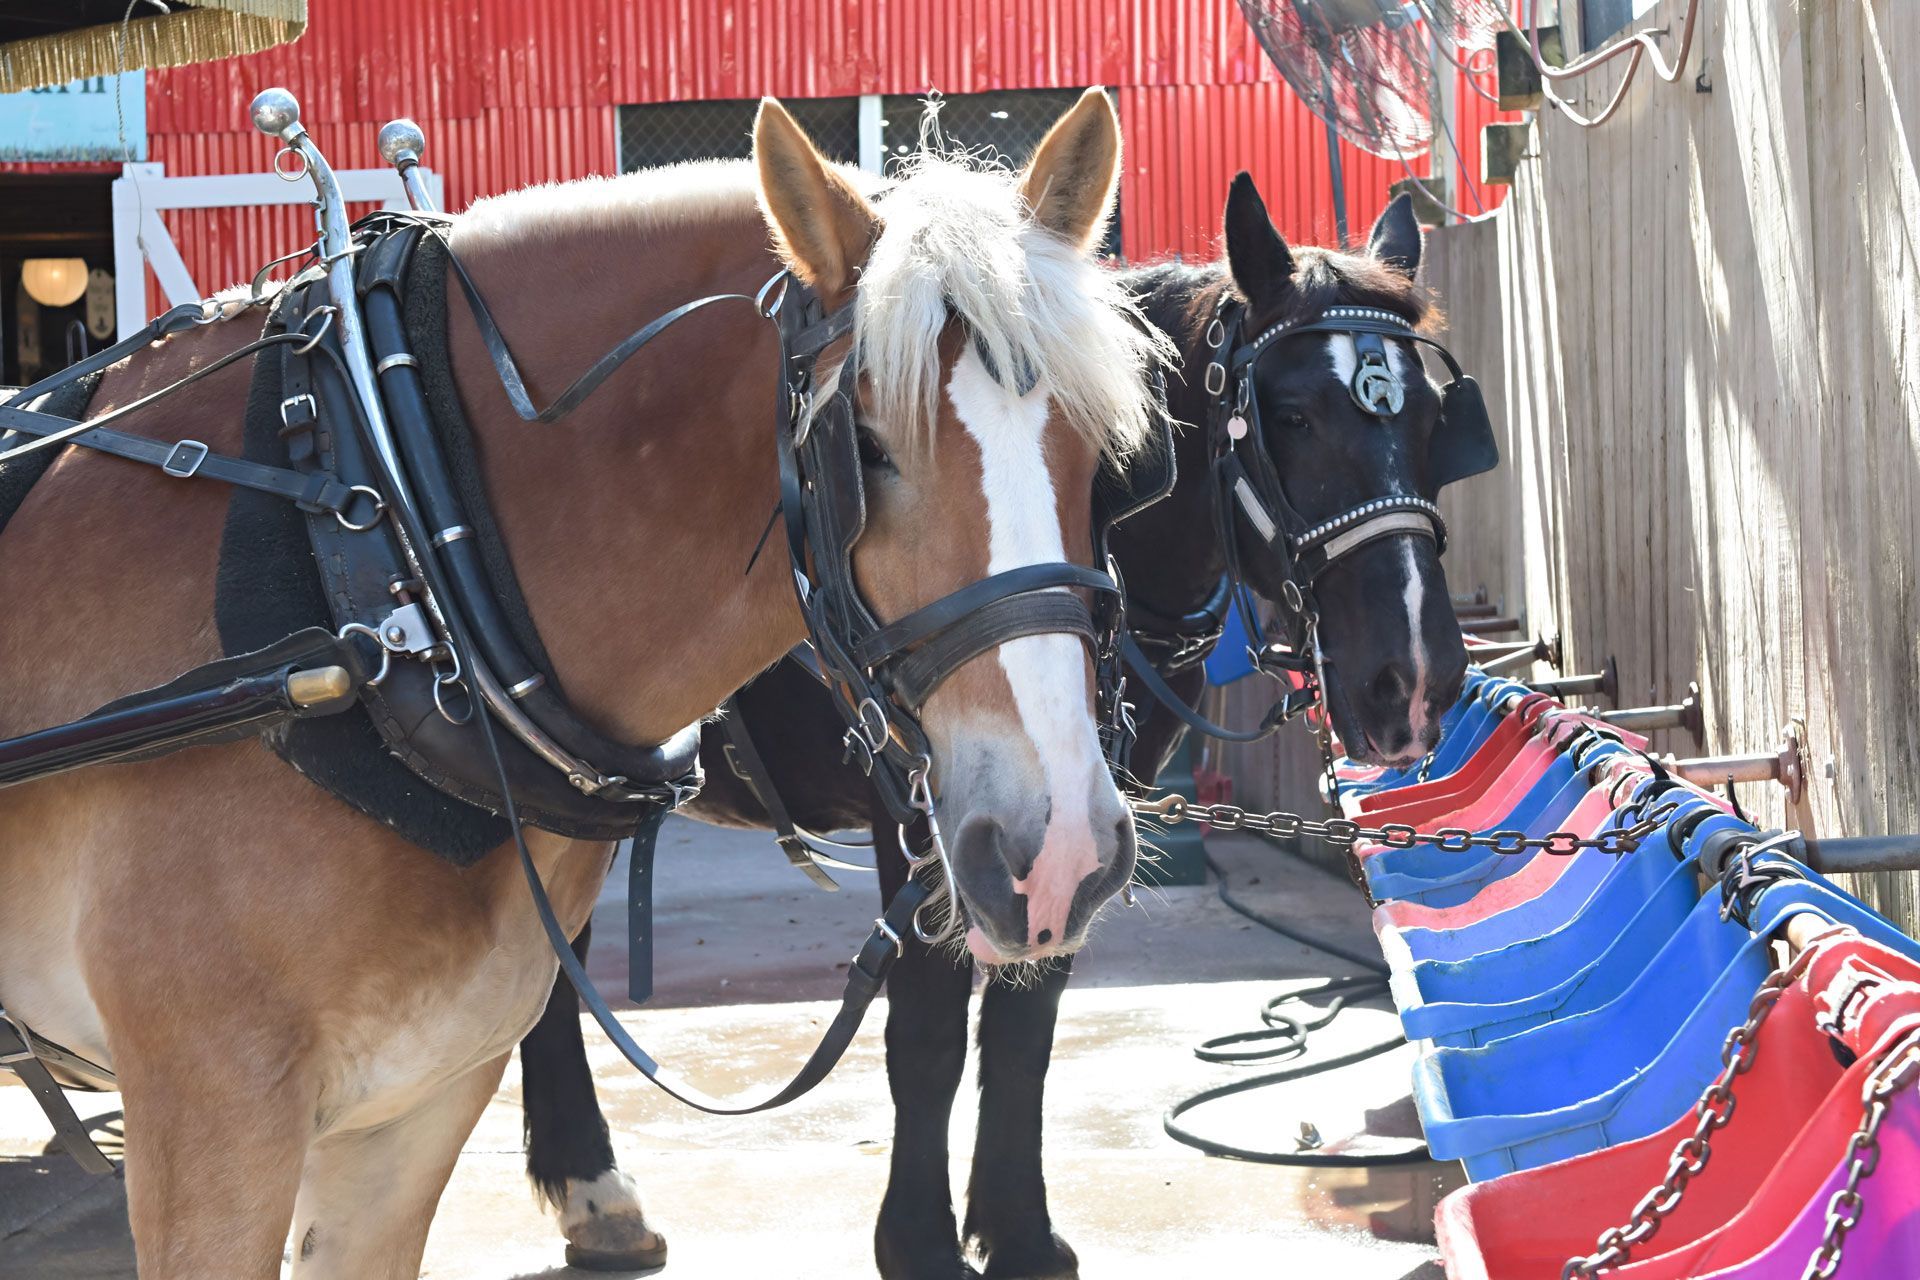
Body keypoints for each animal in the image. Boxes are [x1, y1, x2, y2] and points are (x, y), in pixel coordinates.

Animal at [0, 90, 1168, 1279]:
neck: (387, 557)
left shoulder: (411, 1108)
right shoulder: (213, 1110)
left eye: (1104, 454)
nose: (1060, 849)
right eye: (871, 448)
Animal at [519, 176, 1477, 1278]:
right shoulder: (924, 812)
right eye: (1290, 414)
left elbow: (1027, 1018)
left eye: (1437, 417)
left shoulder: (1076, 818)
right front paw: (922, 1240)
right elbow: (931, 1029)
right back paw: (592, 1185)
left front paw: (1017, 1226)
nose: (1412, 680)